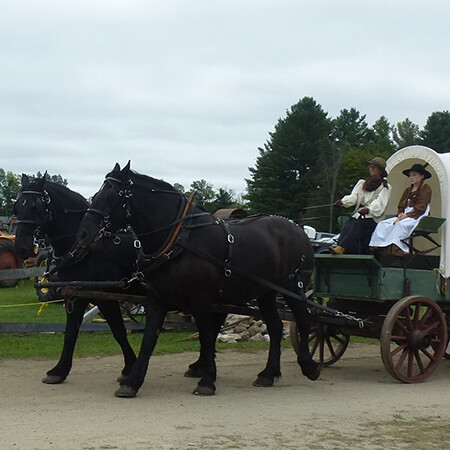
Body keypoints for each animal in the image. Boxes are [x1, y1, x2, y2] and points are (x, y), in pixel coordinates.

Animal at [14, 174, 139, 384]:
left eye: (35, 206)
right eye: (16, 206)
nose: (21, 248)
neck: (85, 249)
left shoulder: (105, 298)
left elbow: (119, 331)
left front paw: (130, 367)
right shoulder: (75, 295)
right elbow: (70, 333)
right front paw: (59, 370)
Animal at [75, 162, 318, 398]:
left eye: (111, 195)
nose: (83, 234)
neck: (178, 239)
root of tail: (298, 229)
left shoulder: (201, 298)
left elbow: (206, 336)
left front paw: (207, 381)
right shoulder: (157, 298)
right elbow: (150, 339)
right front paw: (133, 382)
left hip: (292, 287)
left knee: (304, 321)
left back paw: (309, 366)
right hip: (265, 292)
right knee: (276, 327)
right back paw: (268, 374)